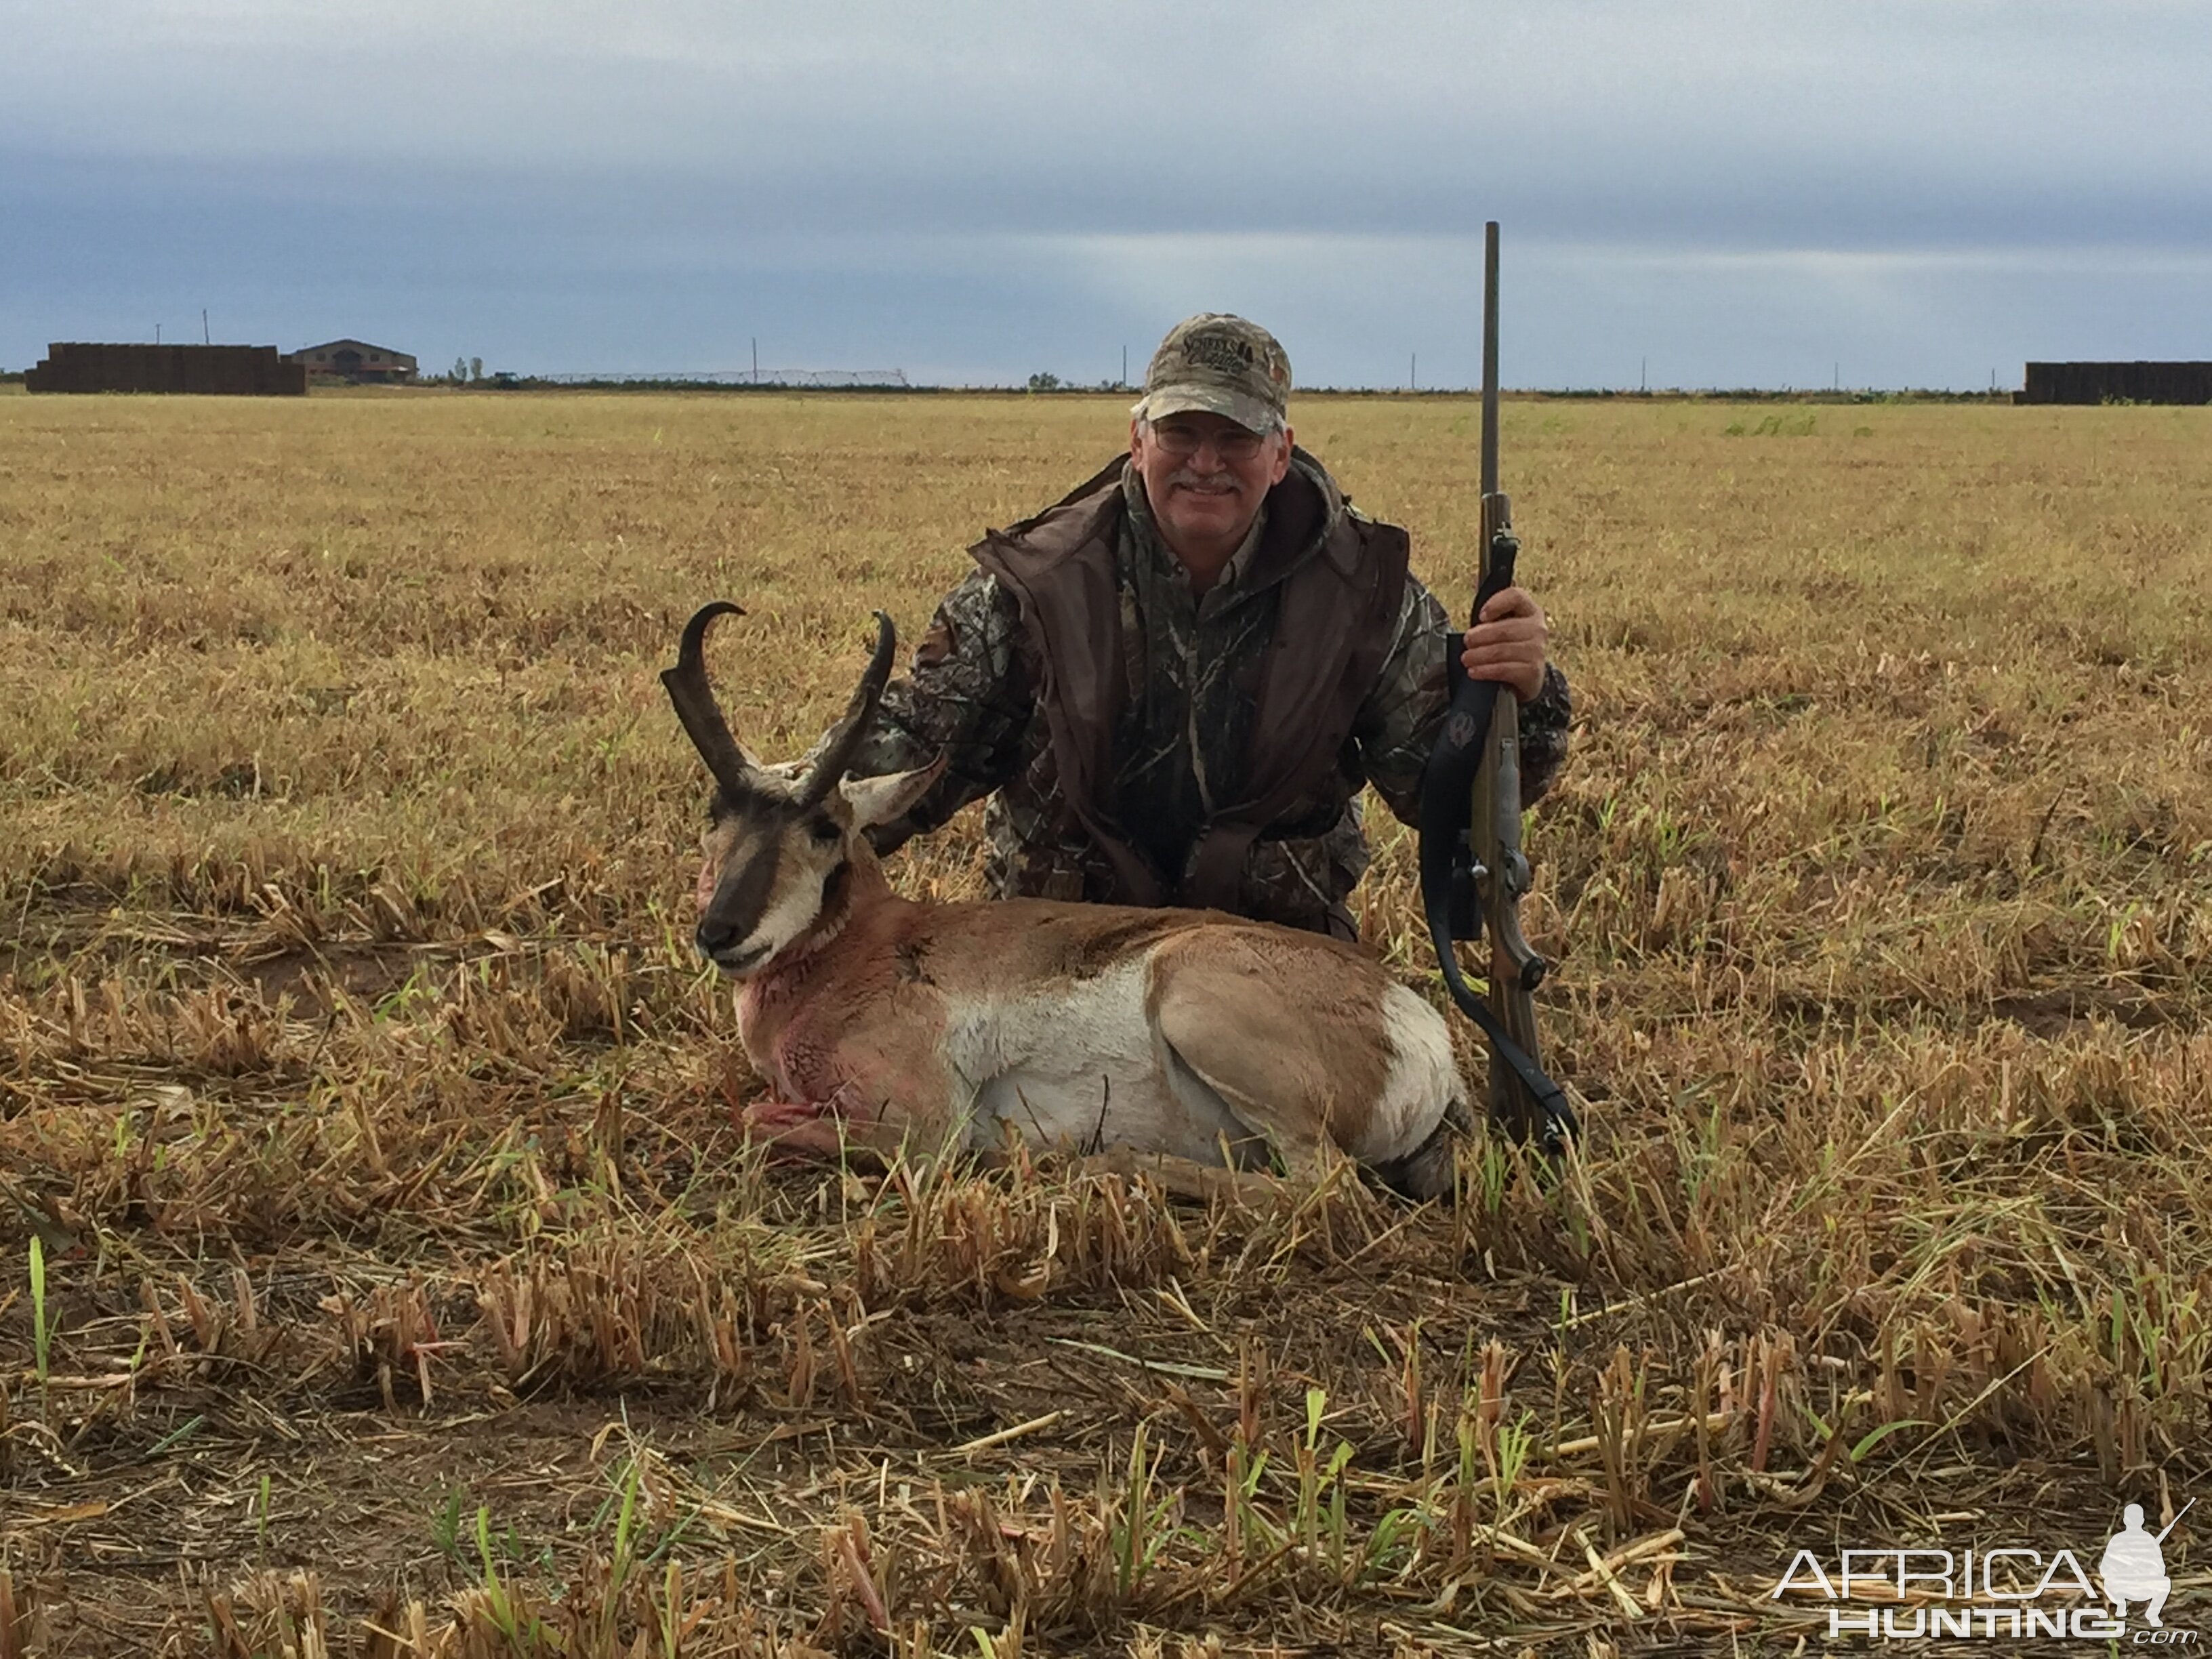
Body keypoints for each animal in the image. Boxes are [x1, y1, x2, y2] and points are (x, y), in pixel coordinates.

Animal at [663, 606, 1477, 1203]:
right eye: (714, 811)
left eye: (826, 827)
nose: (721, 930)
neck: (866, 947)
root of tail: (1416, 1025)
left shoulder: (928, 1127)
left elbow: (760, 1116)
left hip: (1195, 1001)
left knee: (1326, 1190)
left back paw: (1098, 1163)